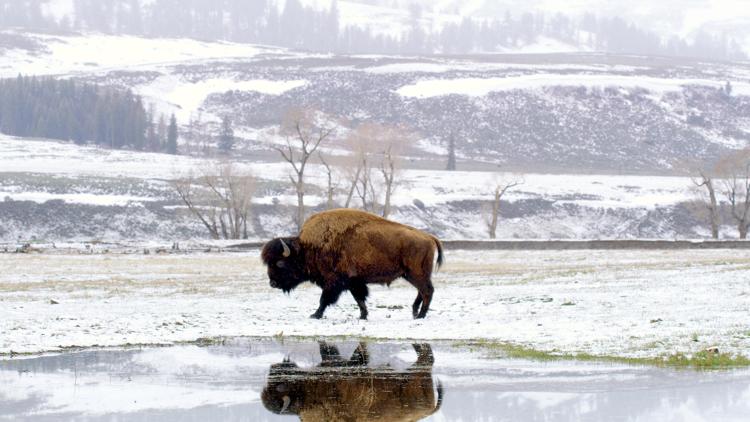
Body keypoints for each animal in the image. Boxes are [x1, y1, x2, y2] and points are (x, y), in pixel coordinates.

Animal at [262, 208, 444, 320]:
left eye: (280, 263)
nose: (272, 283)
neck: (307, 248)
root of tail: (429, 237)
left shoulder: (334, 282)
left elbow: (324, 299)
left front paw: (315, 315)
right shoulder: (353, 282)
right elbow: (359, 298)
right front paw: (363, 316)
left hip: (415, 273)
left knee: (427, 291)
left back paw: (420, 315)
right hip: (413, 274)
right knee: (423, 291)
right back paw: (415, 312)